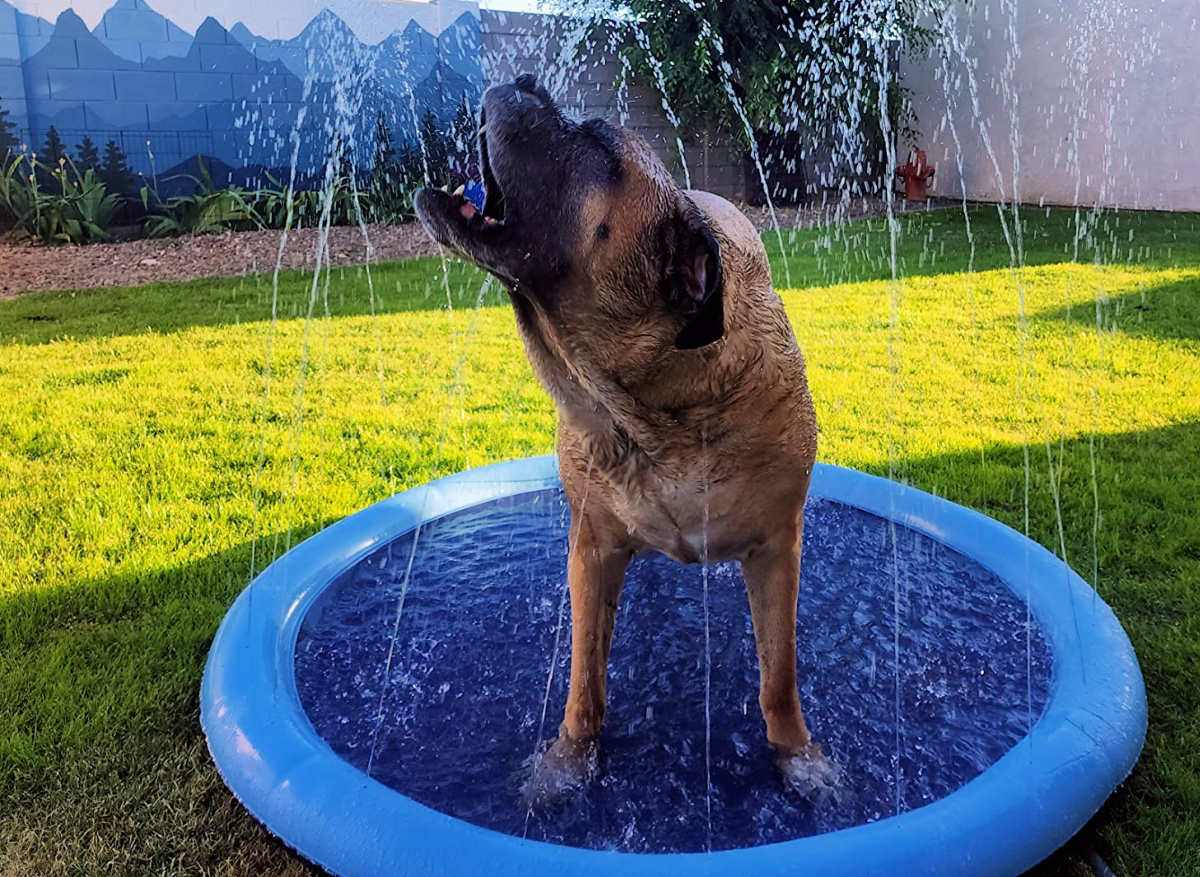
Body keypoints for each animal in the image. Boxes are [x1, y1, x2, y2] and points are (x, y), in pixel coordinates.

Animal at [412, 73, 835, 801]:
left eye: (595, 144)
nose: (524, 80)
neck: (655, 415)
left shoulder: (777, 547)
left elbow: (778, 676)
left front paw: (796, 756)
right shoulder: (593, 545)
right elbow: (585, 676)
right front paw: (569, 759)